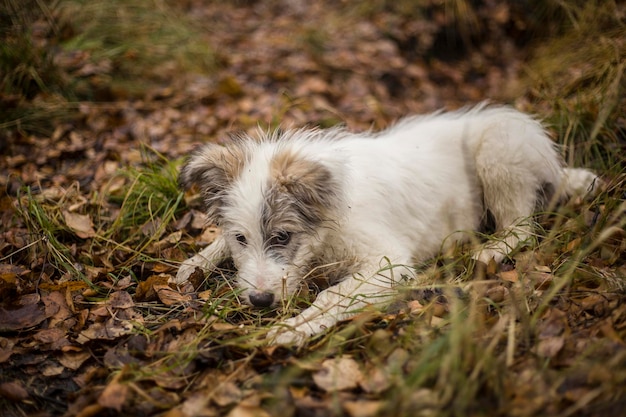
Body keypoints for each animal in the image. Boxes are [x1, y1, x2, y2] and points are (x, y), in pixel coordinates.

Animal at [172, 105, 600, 344]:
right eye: (242, 238)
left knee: (522, 227)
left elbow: (333, 296)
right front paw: (195, 263)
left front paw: (293, 329)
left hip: (500, 148)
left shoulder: (387, 262)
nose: (260, 302)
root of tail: (553, 163)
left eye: (282, 236)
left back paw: (490, 250)